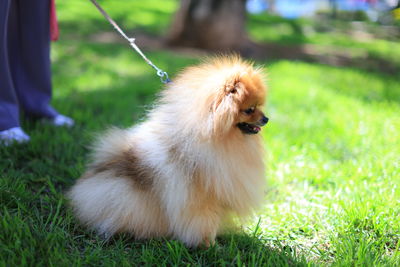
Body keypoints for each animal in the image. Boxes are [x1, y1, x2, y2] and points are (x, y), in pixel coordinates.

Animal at [67, 55, 268, 248]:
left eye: (259, 106)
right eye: (249, 110)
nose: (266, 118)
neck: (218, 139)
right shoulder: (200, 197)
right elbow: (204, 221)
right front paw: (209, 245)